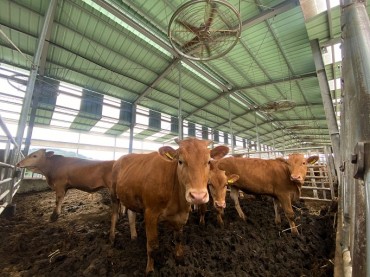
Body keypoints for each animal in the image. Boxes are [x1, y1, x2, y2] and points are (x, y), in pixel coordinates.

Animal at [108, 137, 227, 274]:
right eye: (180, 161)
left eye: (208, 162)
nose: (198, 196)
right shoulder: (150, 214)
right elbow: (153, 245)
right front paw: (150, 270)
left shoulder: (182, 215)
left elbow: (179, 239)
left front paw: (180, 261)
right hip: (114, 194)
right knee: (114, 215)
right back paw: (112, 238)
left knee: (131, 214)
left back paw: (134, 236)